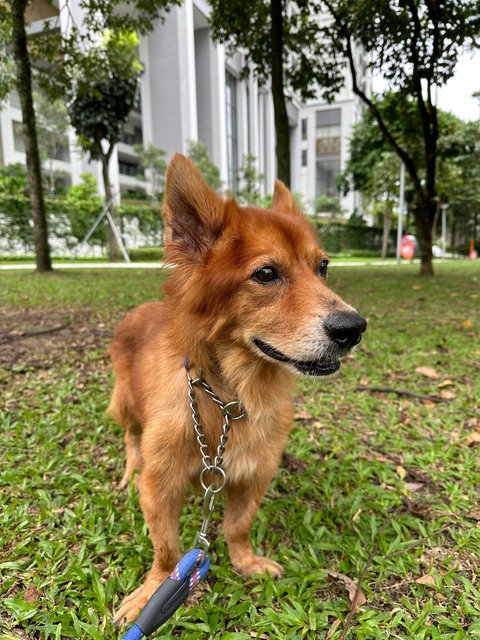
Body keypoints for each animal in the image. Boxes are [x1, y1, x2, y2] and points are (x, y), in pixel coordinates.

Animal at [108, 152, 364, 624]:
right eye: (266, 273)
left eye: (322, 268)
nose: (353, 328)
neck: (228, 398)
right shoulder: (160, 485)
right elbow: (167, 550)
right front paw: (152, 593)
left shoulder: (253, 474)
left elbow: (237, 525)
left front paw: (245, 561)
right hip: (127, 405)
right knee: (131, 437)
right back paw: (129, 467)